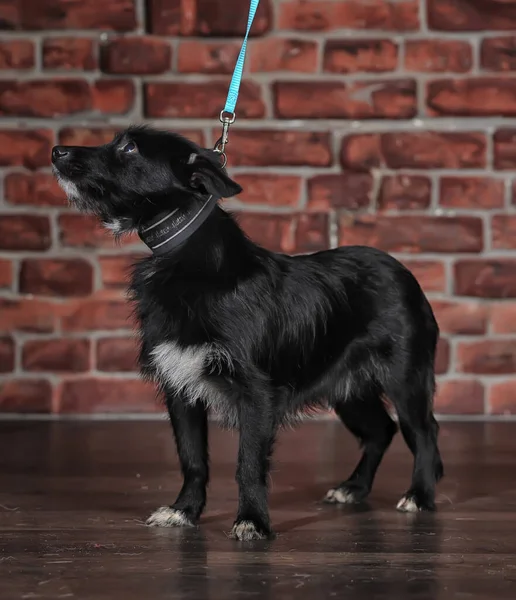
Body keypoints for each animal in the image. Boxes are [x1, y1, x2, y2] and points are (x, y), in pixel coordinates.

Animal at [54, 126, 446, 540]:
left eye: (129, 148)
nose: (56, 151)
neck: (185, 256)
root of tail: (405, 273)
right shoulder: (180, 388)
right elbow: (192, 459)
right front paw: (184, 511)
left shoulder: (257, 395)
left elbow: (249, 464)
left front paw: (252, 520)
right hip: (348, 388)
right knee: (380, 431)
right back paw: (353, 487)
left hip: (406, 380)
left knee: (424, 432)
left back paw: (420, 495)